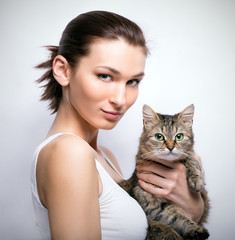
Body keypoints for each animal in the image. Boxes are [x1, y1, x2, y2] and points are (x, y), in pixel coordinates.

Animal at [120, 105, 210, 240]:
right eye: (159, 136)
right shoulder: (148, 199)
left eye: (179, 136)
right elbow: (175, 215)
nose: (170, 147)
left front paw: (197, 179)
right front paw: (194, 229)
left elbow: (189, 159)